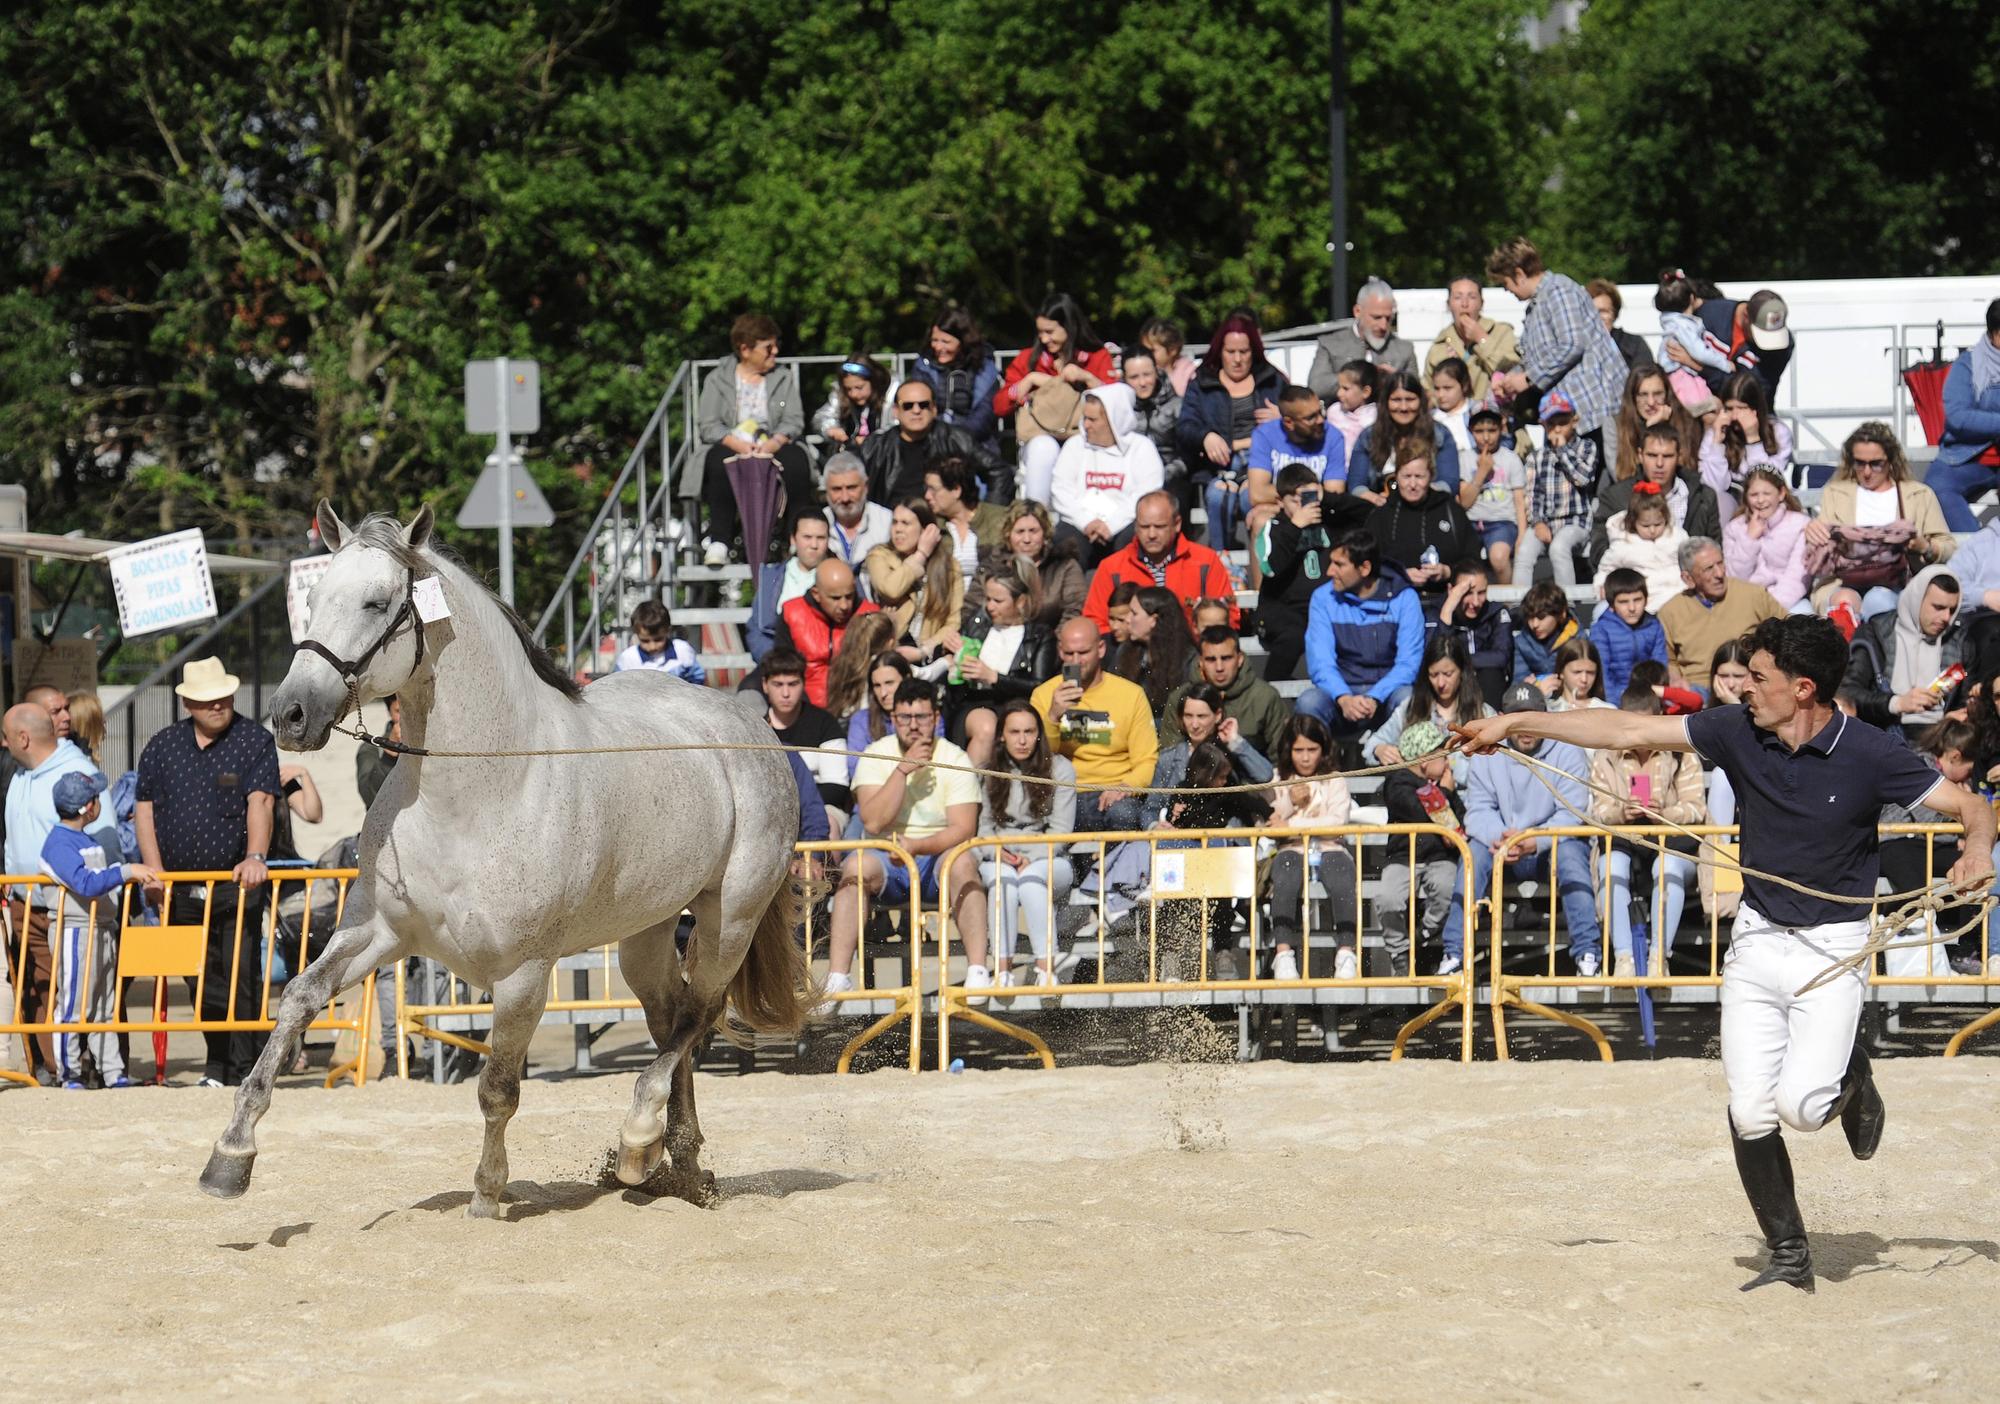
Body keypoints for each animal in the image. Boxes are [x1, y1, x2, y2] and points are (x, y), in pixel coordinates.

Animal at [203, 506, 812, 1224]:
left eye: (376, 602)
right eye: (314, 600)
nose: (289, 715)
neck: (476, 790)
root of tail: (747, 723)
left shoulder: (524, 975)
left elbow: (498, 1089)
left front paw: (487, 1194)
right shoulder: (378, 934)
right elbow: (298, 999)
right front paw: (230, 1156)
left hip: (729, 916)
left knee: (700, 1014)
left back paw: (639, 1140)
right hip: (646, 931)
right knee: (671, 1017)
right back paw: (677, 1163)